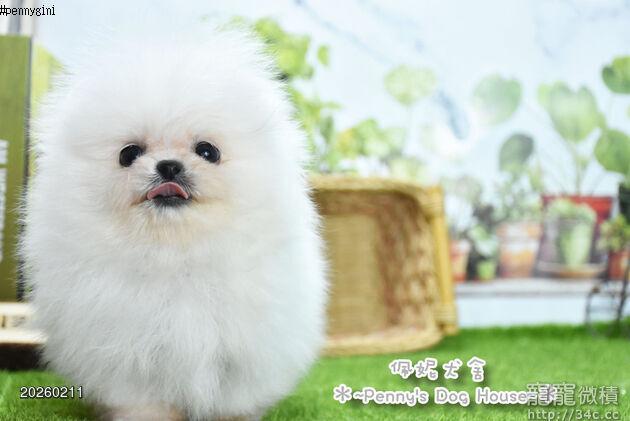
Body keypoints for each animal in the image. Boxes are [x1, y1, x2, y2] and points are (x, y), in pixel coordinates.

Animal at [21, 27, 327, 420]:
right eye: (128, 154)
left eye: (208, 151)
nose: (168, 166)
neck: (176, 253)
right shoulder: (126, 351)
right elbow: (143, 398)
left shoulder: (243, 353)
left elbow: (233, 398)